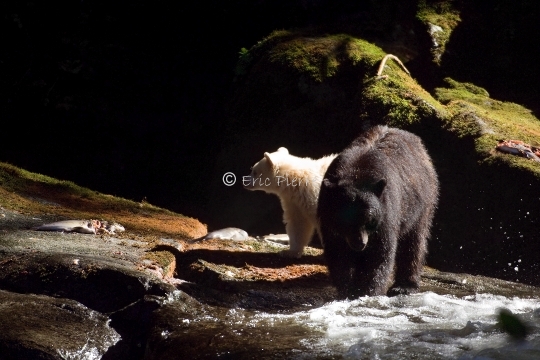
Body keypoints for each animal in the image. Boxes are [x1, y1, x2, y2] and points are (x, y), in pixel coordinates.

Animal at [316, 125, 438, 296]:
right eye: (345, 220)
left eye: (368, 218)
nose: (359, 243)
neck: (355, 174)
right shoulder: (329, 221)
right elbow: (338, 254)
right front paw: (347, 290)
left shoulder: (386, 213)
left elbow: (380, 254)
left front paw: (368, 291)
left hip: (421, 203)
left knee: (414, 242)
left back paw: (405, 285)